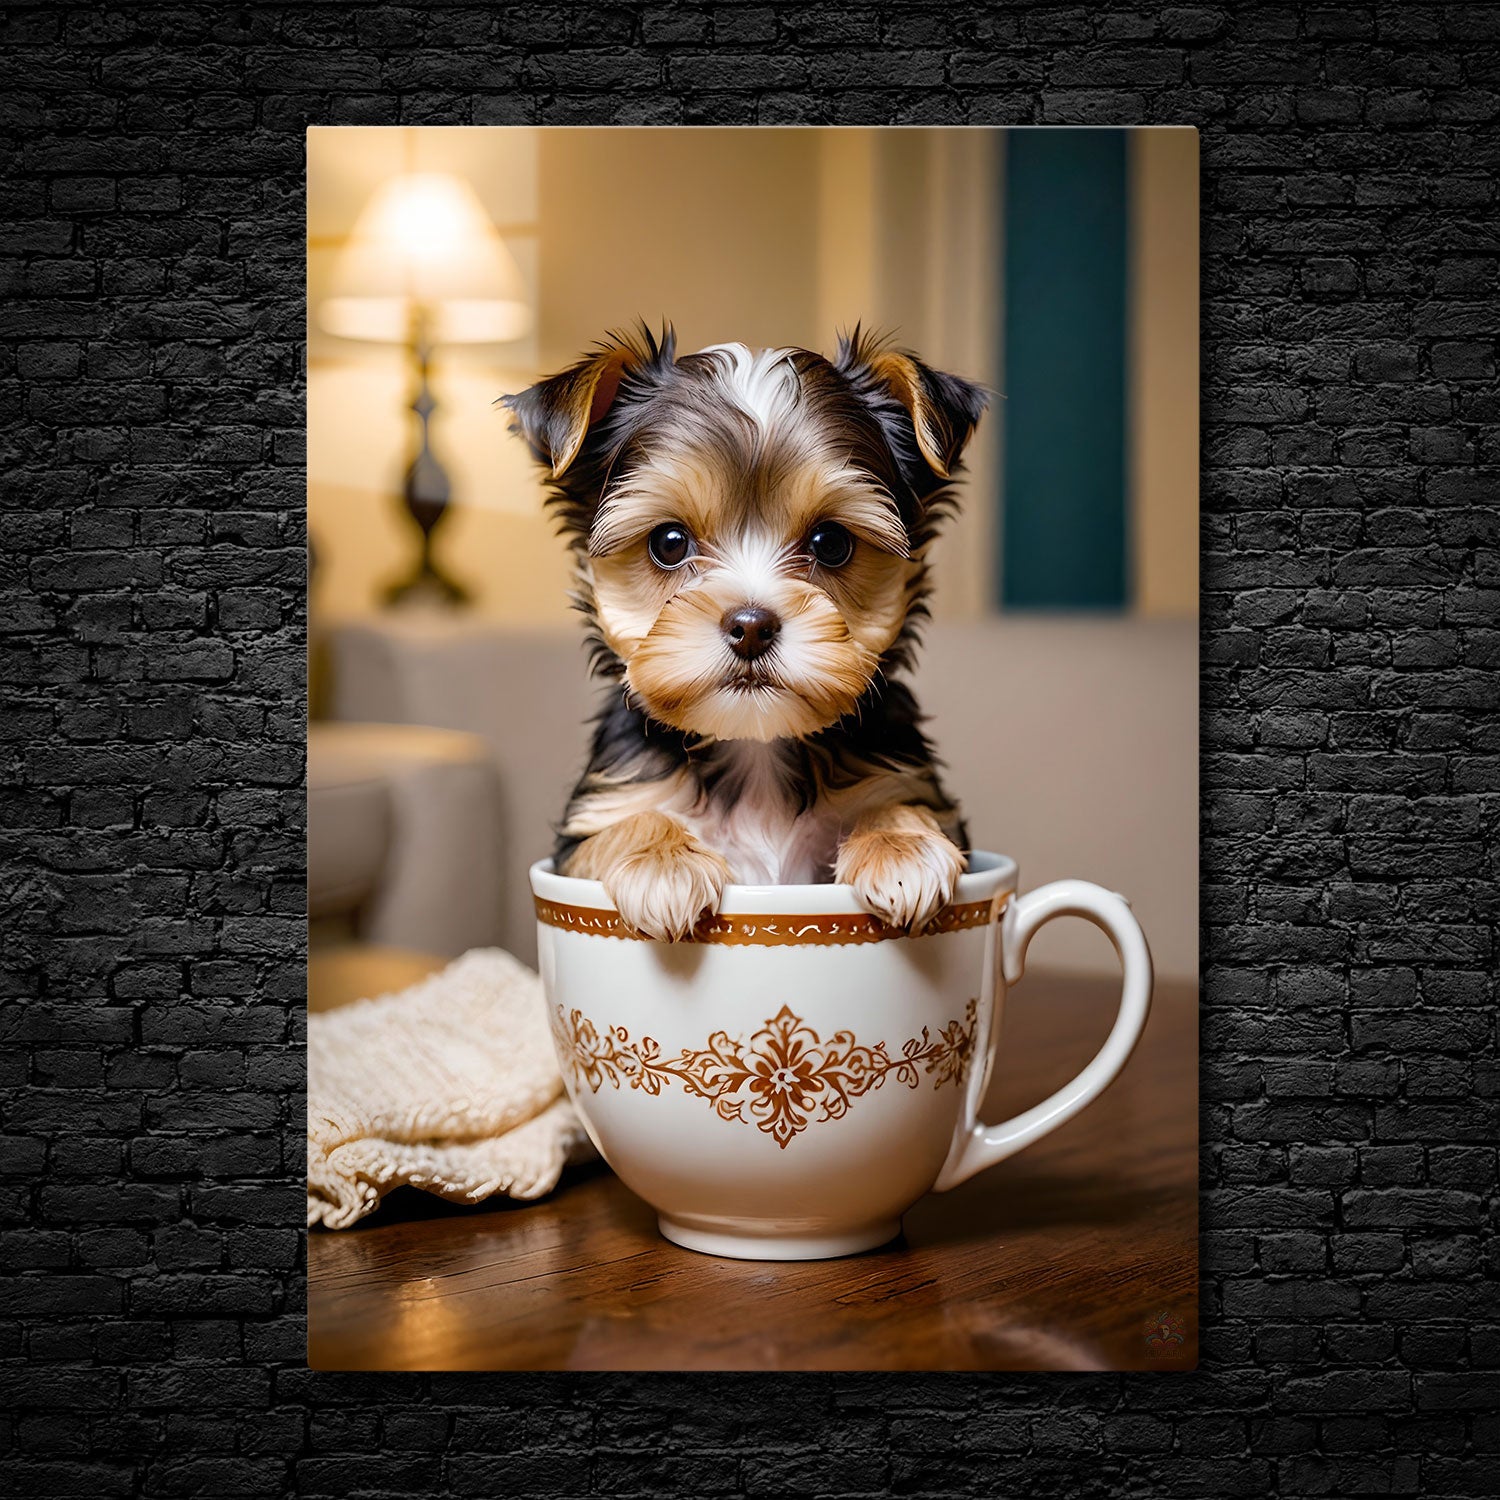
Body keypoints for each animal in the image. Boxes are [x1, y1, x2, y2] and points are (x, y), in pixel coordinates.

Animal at [510, 324, 990, 942]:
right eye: (668, 542)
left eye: (831, 543)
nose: (751, 626)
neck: (755, 747)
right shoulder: (590, 825)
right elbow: (623, 823)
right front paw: (662, 864)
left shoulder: (905, 779)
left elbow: (903, 804)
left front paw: (902, 847)